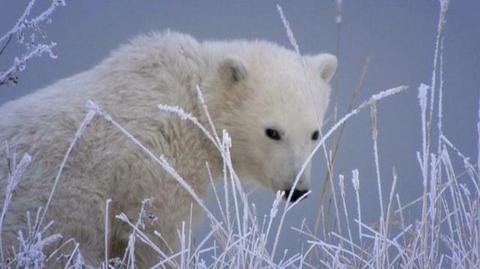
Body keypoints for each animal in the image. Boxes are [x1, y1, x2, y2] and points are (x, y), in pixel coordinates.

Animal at [0, 31, 336, 266]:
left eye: (314, 133)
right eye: (272, 132)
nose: (297, 189)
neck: (188, 104)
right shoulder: (152, 169)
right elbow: (154, 238)